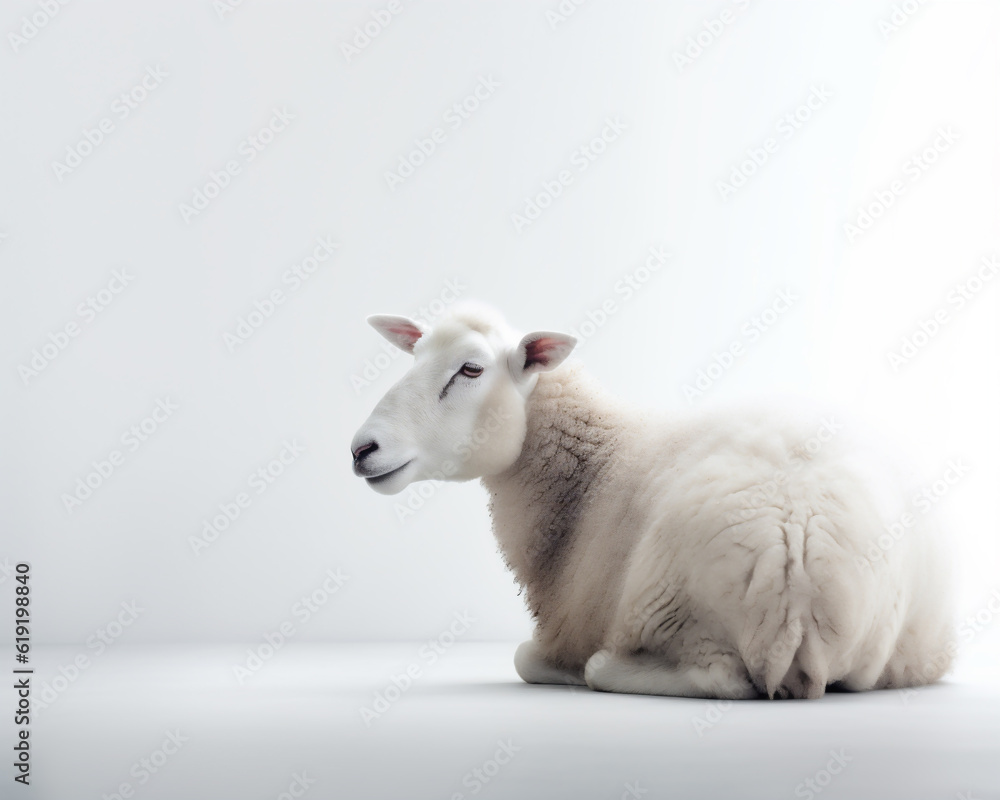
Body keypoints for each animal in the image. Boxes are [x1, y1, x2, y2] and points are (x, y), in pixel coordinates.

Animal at [350, 301, 954, 699]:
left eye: (471, 368)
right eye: (414, 356)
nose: (361, 449)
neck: (590, 471)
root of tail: (801, 546)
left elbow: (524, 657)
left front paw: (561, 665)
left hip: (676, 610)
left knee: (720, 680)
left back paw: (601, 666)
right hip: (907, 653)